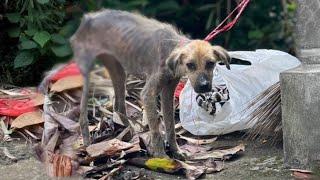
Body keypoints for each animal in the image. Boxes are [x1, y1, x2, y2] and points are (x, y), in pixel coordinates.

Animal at [70, 9, 230, 160]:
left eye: (211, 63)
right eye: (190, 65)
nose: (204, 86)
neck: (172, 46)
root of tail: (89, 17)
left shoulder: (168, 91)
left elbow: (170, 126)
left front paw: (176, 151)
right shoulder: (148, 94)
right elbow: (156, 129)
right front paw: (161, 156)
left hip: (118, 71)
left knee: (119, 106)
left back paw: (126, 136)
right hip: (87, 75)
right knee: (83, 114)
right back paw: (87, 144)